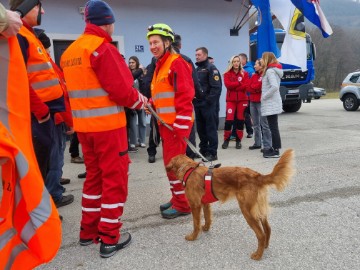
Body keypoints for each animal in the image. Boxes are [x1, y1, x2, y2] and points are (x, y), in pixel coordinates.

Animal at [166, 149, 296, 260]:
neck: (189, 170)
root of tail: (257, 176)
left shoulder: (195, 205)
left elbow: (195, 224)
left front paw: (193, 237)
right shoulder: (205, 204)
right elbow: (207, 218)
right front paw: (206, 228)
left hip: (247, 211)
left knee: (261, 234)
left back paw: (258, 255)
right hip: (258, 209)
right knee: (268, 229)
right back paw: (265, 246)